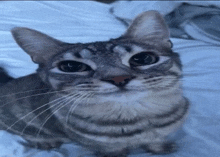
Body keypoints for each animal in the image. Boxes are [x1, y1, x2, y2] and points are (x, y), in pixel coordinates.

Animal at [0, 10, 189, 156]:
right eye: (71, 66)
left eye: (143, 58)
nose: (118, 78)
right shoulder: (103, 146)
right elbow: (114, 151)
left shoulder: (160, 133)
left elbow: (157, 140)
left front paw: (160, 148)